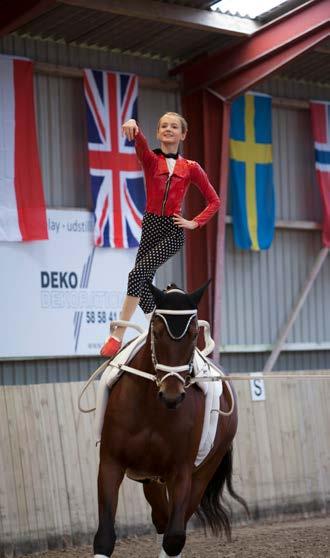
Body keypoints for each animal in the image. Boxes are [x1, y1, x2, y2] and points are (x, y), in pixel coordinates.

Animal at [94, 284, 246, 558]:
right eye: (157, 331)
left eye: (194, 333)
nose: (171, 395)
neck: (152, 410)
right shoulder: (110, 464)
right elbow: (105, 537)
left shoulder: (181, 472)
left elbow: (175, 538)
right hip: (150, 479)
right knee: (161, 519)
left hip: (201, 473)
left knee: (173, 526)